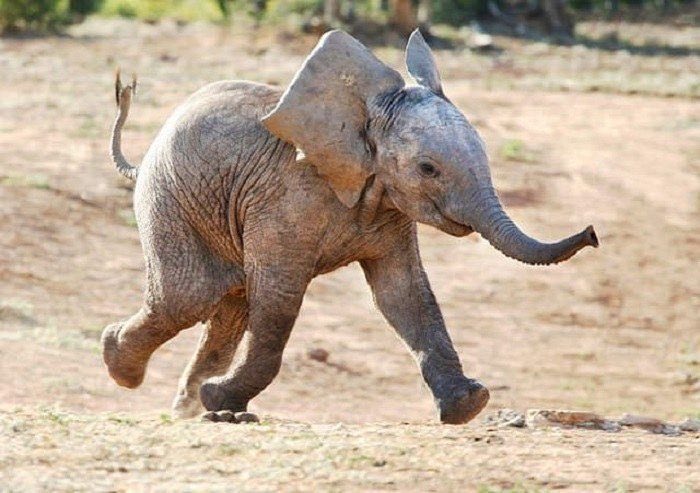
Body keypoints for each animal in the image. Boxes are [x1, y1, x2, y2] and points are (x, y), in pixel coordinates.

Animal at [102, 29, 598, 424]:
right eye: (428, 169)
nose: (593, 234)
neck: (364, 118)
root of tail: (143, 158)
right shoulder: (286, 200)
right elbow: (279, 297)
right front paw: (217, 398)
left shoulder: (389, 207)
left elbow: (403, 294)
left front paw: (468, 406)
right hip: (170, 199)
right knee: (188, 297)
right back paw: (122, 365)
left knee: (227, 306)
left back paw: (191, 408)